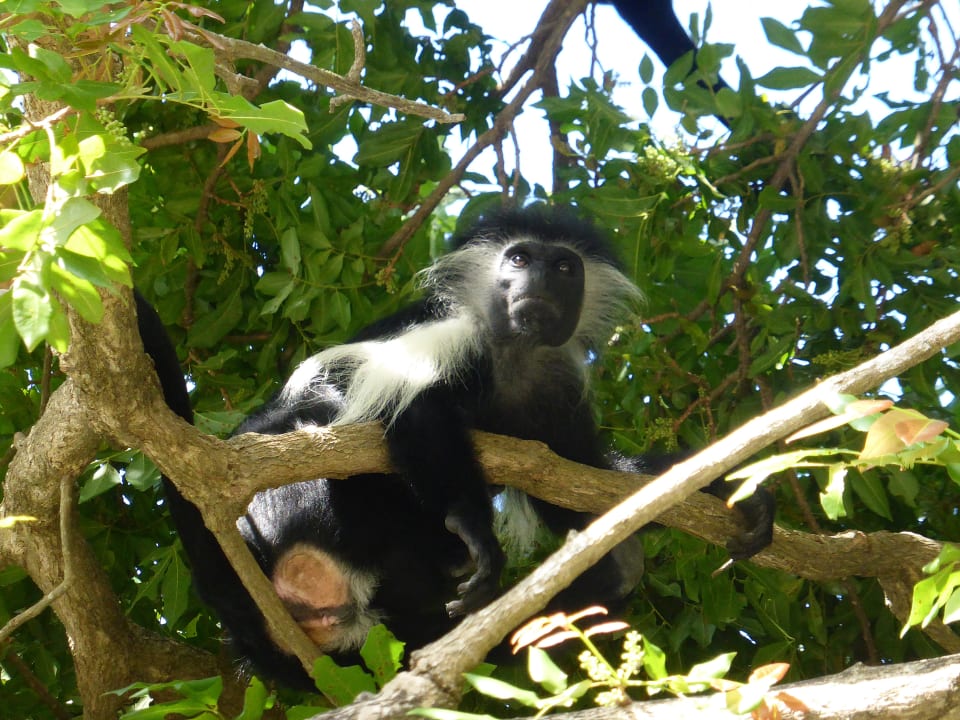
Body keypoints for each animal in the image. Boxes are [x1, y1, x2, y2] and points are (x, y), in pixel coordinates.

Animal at [137, 205, 774, 690]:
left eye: (564, 267)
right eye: (519, 259)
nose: (539, 284)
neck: (514, 353)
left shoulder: (557, 389)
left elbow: (581, 484)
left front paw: (731, 488)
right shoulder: (449, 336)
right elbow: (413, 409)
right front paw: (473, 528)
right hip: (299, 506)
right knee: (328, 423)